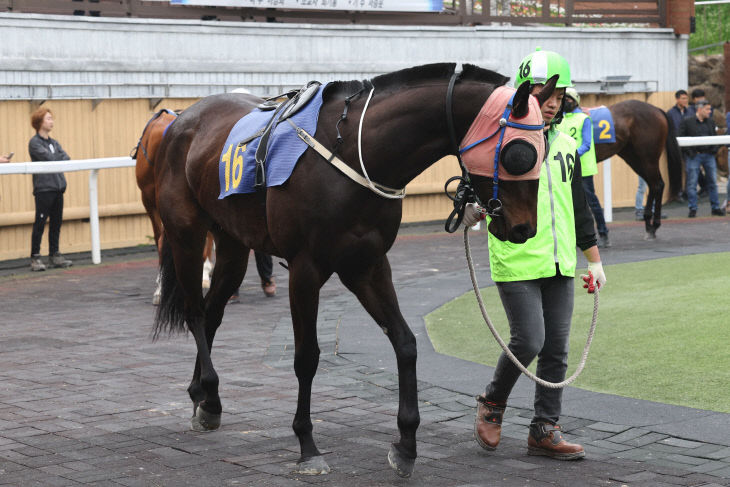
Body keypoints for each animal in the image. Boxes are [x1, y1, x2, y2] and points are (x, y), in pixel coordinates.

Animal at [151, 63, 552, 478]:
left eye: (545, 148)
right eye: (519, 154)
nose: (524, 229)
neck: (356, 154)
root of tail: (182, 119)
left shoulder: (367, 265)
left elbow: (405, 343)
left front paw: (406, 445)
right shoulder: (305, 268)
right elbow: (307, 356)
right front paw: (307, 444)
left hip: (231, 243)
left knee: (213, 312)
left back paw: (205, 396)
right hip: (186, 234)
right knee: (196, 313)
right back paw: (207, 392)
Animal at [592, 101, 684, 240]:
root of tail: (656, 109)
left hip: (648, 158)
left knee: (657, 184)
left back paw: (653, 225)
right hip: (634, 158)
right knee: (654, 184)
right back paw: (649, 223)